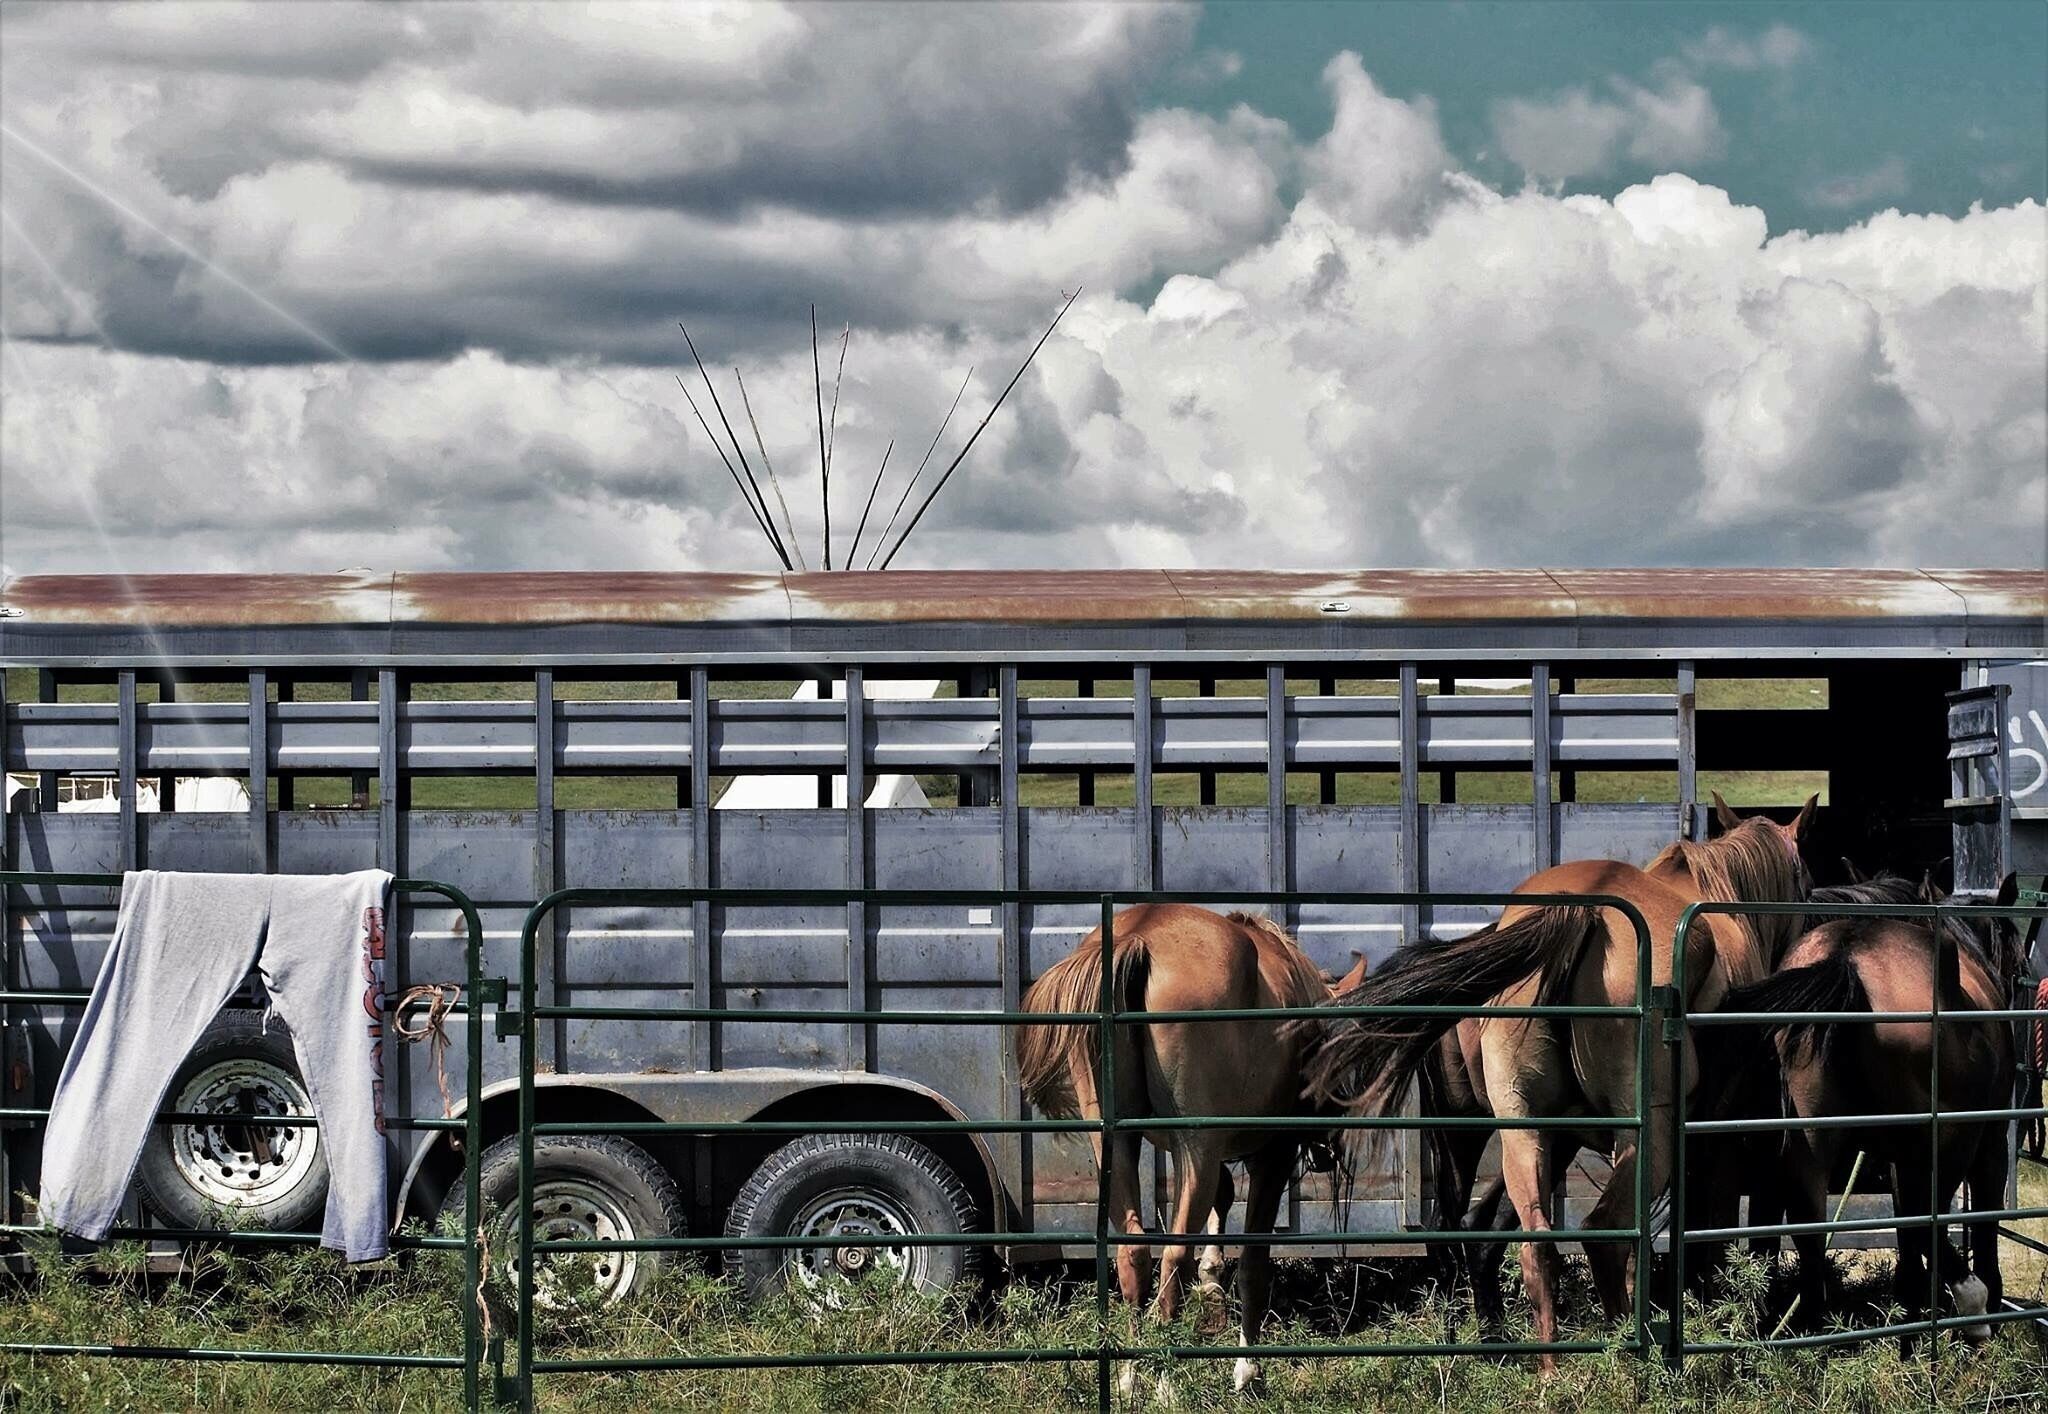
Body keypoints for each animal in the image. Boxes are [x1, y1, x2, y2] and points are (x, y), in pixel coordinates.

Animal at [1016, 904, 1346, 1397]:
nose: (1330, 1150)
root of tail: (1138, 937)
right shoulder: (1272, 1155)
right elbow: (1253, 1266)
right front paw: (1247, 1369)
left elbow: (1220, 1203)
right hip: (1197, 1150)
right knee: (1173, 1258)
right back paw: (1164, 1378)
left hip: (1119, 1145)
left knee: (1134, 1254)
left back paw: (1129, 1377)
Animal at [1300, 797, 1814, 1372]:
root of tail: (1577, 913)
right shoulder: (1705, 1138)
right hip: (1646, 1140)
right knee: (1600, 1235)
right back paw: (1623, 1358)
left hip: (1516, 1132)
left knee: (1523, 1242)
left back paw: (1537, 1366)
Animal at [1717, 873, 2022, 1348]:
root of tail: (1846, 958)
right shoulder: (1986, 1144)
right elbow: (1976, 1224)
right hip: (1944, 1146)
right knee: (1924, 1216)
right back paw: (1970, 1308)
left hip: (1809, 1146)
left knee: (1809, 1231)